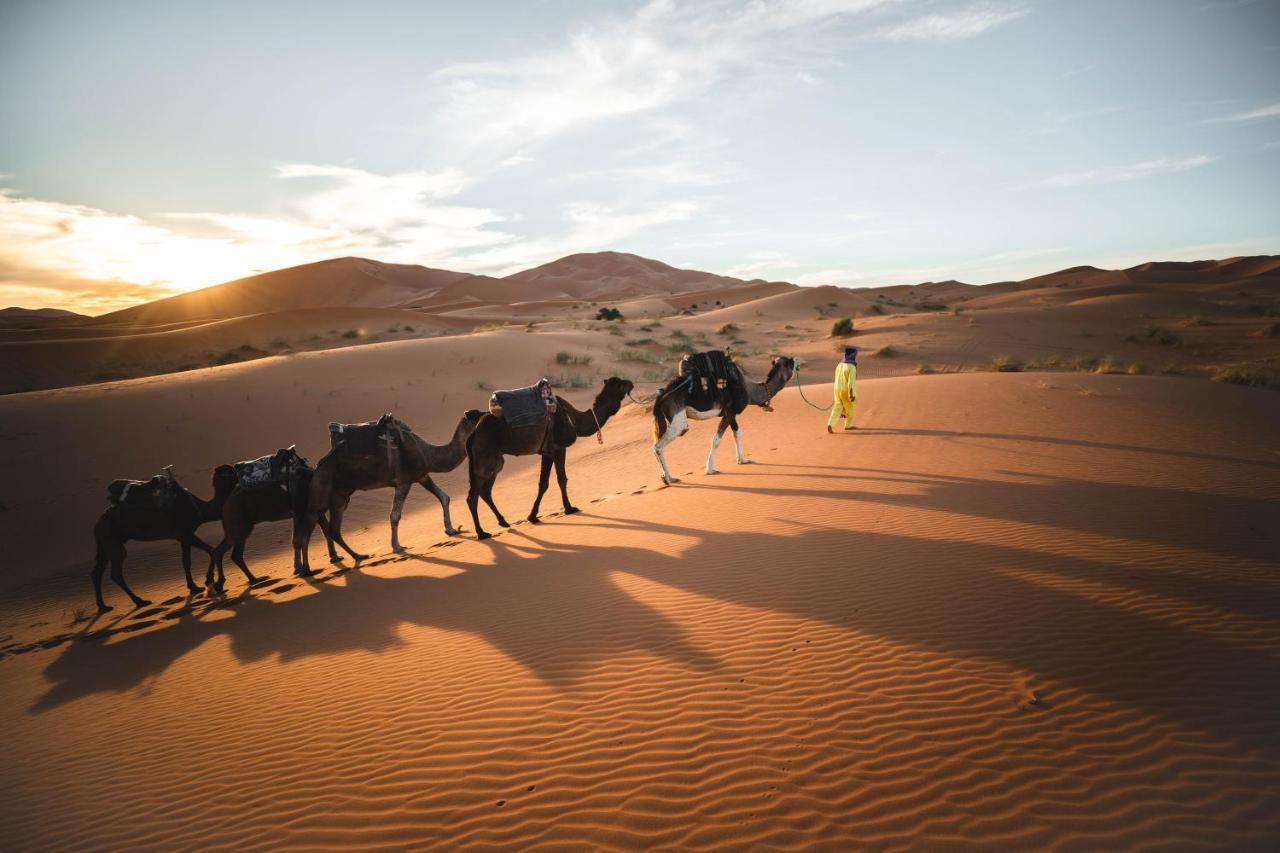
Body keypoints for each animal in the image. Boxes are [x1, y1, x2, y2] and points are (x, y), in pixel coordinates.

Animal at [92, 466, 240, 612]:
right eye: (232, 472)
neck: (199, 508)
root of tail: (98, 523)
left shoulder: (183, 537)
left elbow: (186, 561)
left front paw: (194, 587)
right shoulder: (186, 534)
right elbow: (210, 550)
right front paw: (208, 580)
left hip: (105, 542)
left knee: (97, 572)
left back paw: (103, 606)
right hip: (112, 540)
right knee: (116, 571)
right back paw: (140, 601)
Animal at [293, 409, 481, 573]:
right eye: (479, 417)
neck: (426, 452)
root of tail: (317, 466)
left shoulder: (421, 476)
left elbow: (444, 497)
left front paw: (451, 529)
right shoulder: (404, 481)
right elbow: (395, 515)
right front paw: (397, 546)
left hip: (341, 494)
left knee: (333, 529)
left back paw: (358, 556)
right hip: (321, 489)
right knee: (308, 529)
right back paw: (307, 569)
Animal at [465, 373, 634, 537]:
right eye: (621, 384)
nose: (631, 383)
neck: (573, 420)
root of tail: (473, 433)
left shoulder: (547, 452)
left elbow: (543, 483)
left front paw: (532, 516)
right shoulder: (558, 447)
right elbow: (561, 479)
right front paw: (569, 508)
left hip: (495, 460)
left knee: (485, 491)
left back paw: (503, 522)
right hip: (484, 456)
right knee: (473, 495)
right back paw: (481, 533)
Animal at [655, 350, 793, 481]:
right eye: (789, 362)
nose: (796, 360)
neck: (749, 390)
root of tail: (662, 397)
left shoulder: (730, 412)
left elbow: (737, 433)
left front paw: (743, 460)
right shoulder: (730, 412)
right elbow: (716, 440)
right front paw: (710, 469)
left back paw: (666, 477)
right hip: (678, 419)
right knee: (659, 445)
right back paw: (669, 479)